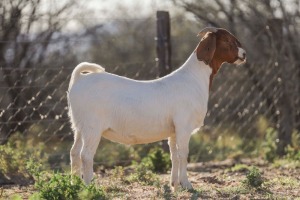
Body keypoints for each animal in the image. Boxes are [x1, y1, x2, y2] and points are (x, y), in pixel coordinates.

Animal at [68, 27, 246, 190]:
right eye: (227, 40)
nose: (244, 54)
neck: (194, 78)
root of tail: (78, 80)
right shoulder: (183, 126)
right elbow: (183, 154)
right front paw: (187, 185)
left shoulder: (173, 130)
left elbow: (174, 155)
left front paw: (174, 185)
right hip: (92, 126)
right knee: (86, 155)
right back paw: (89, 187)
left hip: (79, 126)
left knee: (74, 153)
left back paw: (75, 184)